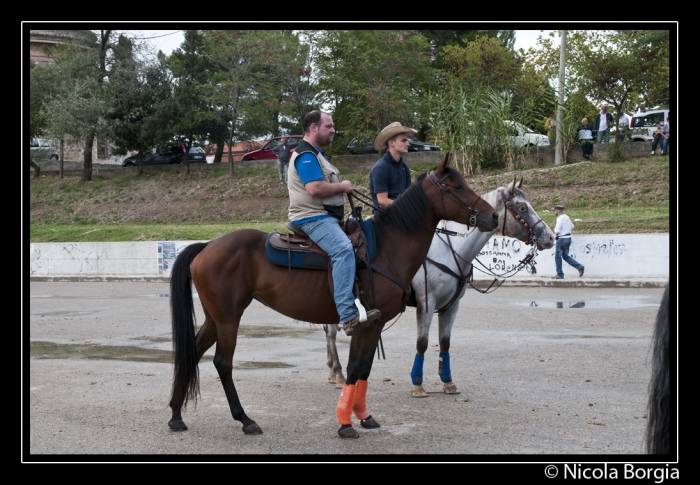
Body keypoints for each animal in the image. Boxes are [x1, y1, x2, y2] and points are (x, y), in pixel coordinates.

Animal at [168, 154, 498, 438]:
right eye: (456, 186)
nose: (492, 216)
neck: (388, 248)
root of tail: (207, 246)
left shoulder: (374, 324)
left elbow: (363, 371)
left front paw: (364, 417)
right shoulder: (367, 324)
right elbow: (354, 370)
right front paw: (345, 424)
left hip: (214, 318)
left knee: (192, 353)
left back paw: (176, 415)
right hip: (228, 319)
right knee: (222, 363)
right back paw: (245, 419)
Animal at [324, 176, 556, 396]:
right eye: (522, 208)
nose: (551, 237)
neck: (449, 252)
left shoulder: (452, 305)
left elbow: (445, 342)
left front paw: (448, 381)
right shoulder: (426, 302)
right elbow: (422, 342)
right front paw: (417, 384)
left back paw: (333, 370)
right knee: (332, 331)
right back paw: (338, 372)